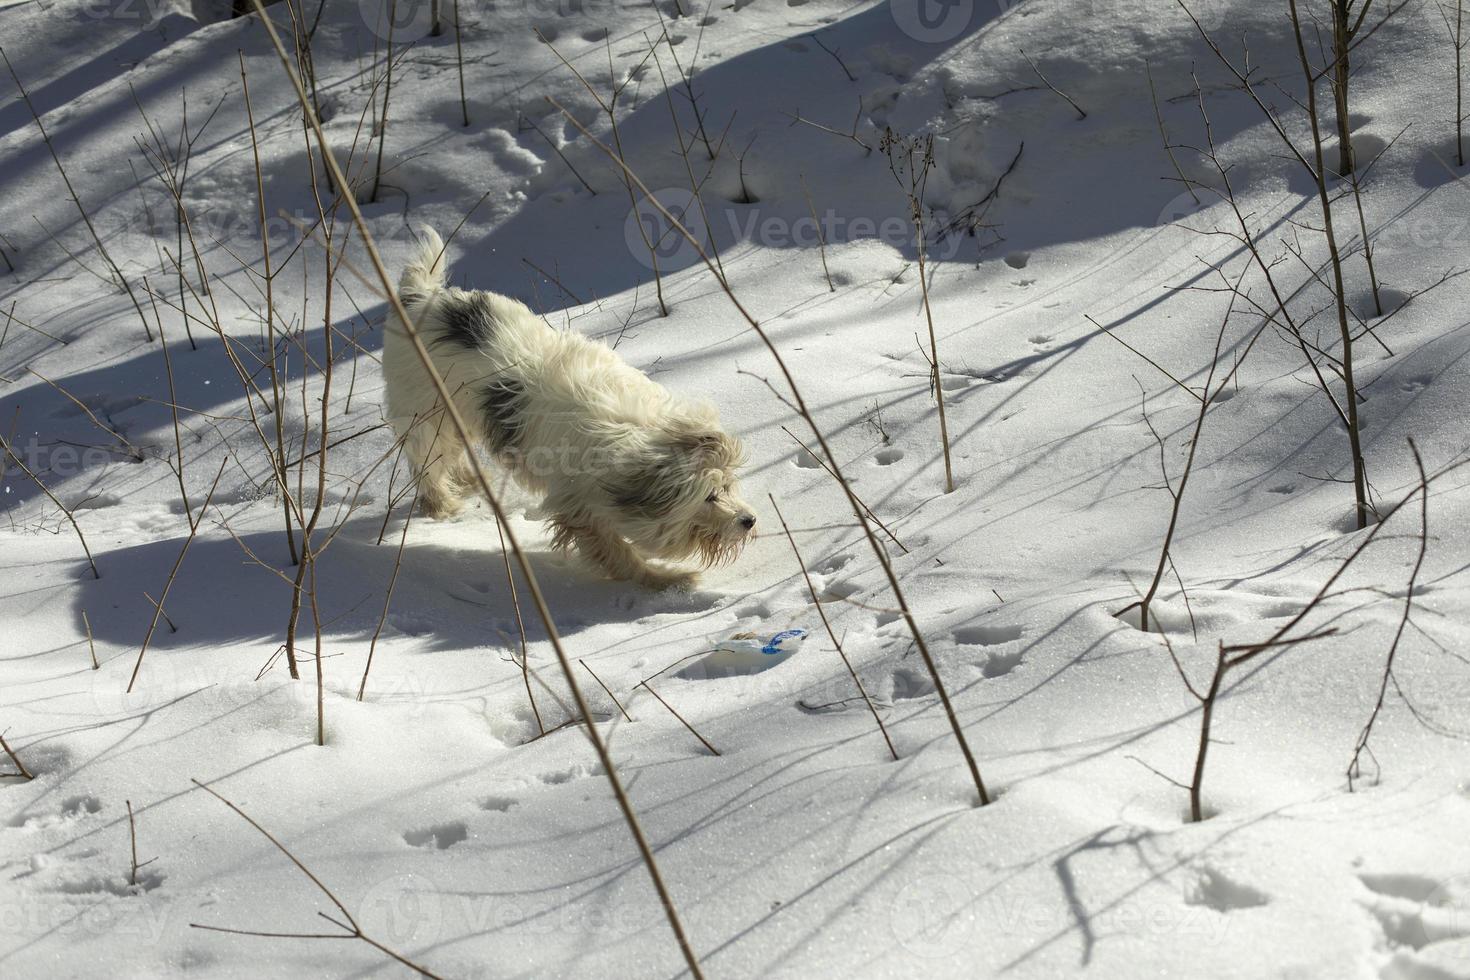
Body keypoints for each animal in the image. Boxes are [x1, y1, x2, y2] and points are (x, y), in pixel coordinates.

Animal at [385, 230, 752, 590]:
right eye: (709, 497)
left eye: (728, 486)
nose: (749, 520)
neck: (637, 435)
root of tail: (419, 296)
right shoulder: (580, 503)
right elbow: (614, 549)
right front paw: (663, 579)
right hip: (426, 413)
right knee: (428, 461)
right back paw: (443, 505)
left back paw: (470, 481)